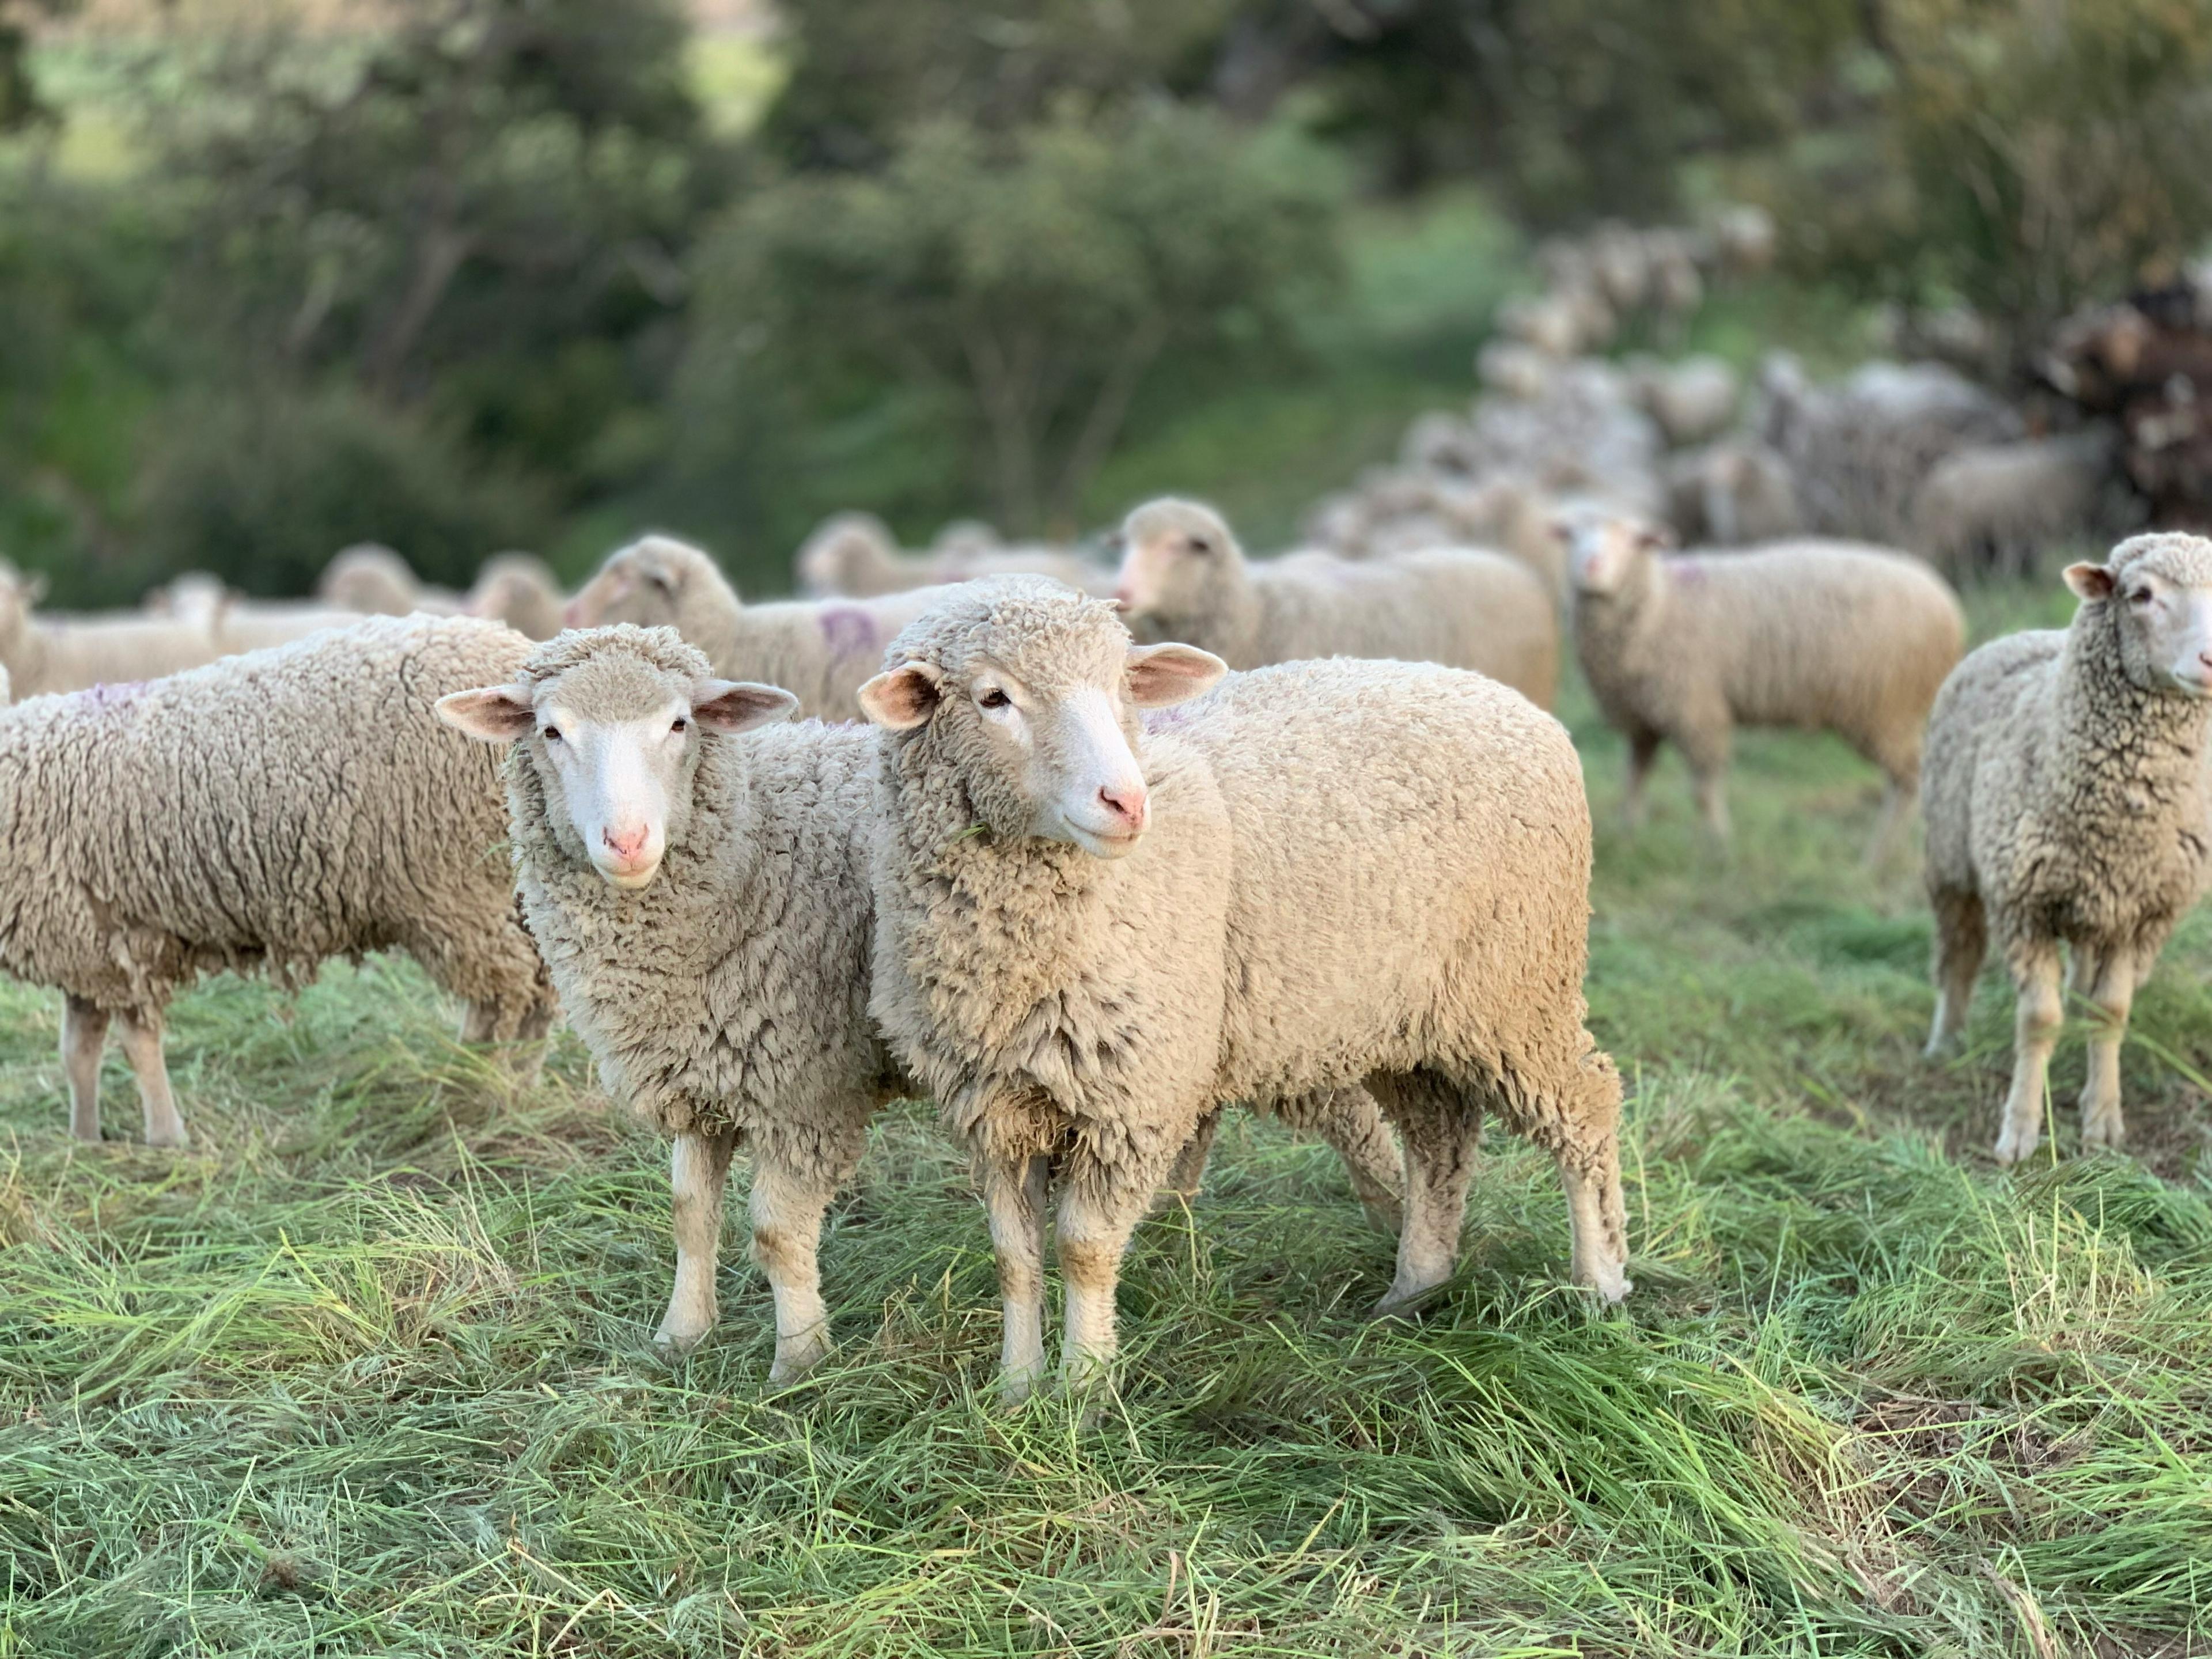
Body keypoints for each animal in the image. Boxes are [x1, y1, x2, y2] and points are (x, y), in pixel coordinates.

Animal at [1, 615, 557, 1148]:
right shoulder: (84, 946)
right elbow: (78, 1052)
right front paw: (84, 1141)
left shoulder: (120, 943)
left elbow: (136, 1046)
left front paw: (164, 1138)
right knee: (540, 986)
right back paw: (516, 1081)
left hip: (457, 889)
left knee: (504, 994)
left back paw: (475, 1082)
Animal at [437, 624, 902, 1378]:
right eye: (551, 731)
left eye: (680, 724)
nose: (627, 842)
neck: (759, 847)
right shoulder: (698, 1070)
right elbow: (688, 1213)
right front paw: (681, 1335)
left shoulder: (806, 1092)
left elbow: (776, 1234)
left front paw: (800, 1361)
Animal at [859, 579, 1628, 1391]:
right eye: (994, 698)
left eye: (1122, 686)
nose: (1127, 802)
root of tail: (1516, 705)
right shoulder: (992, 1106)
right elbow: (1014, 1256)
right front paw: (1016, 1387)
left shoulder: (1135, 1096)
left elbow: (1084, 1250)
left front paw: (1085, 1387)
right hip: (1406, 1013)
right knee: (1439, 1138)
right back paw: (1415, 1288)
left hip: (1518, 987)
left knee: (1585, 1108)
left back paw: (1599, 1286)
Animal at [1560, 510, 1964, 858]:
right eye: (1572, 537)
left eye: (1632, 540)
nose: (1590, 566)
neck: (1659, 604)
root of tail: (1947, 603)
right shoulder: (1642, 719)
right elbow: (1634, 779)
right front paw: (1629, 835)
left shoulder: (1697, 709)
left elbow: (1704, 789)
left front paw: (1718, 846)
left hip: (1885, 709)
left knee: (1909, 781)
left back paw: (1877, 857)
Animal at [1921, 536, 2212, 1162]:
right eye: (2141, 595)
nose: (2211, 660)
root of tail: (2026, 632)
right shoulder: (2022, 904)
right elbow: (2038, 1019)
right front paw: (2020, 1130)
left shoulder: (2139, 912)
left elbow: (2111, 1011)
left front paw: (2103, 1119)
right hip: (1948, 861)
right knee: (1958, 955)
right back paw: (1945, 1041)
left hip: (2093, 905)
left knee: (2082, 978)